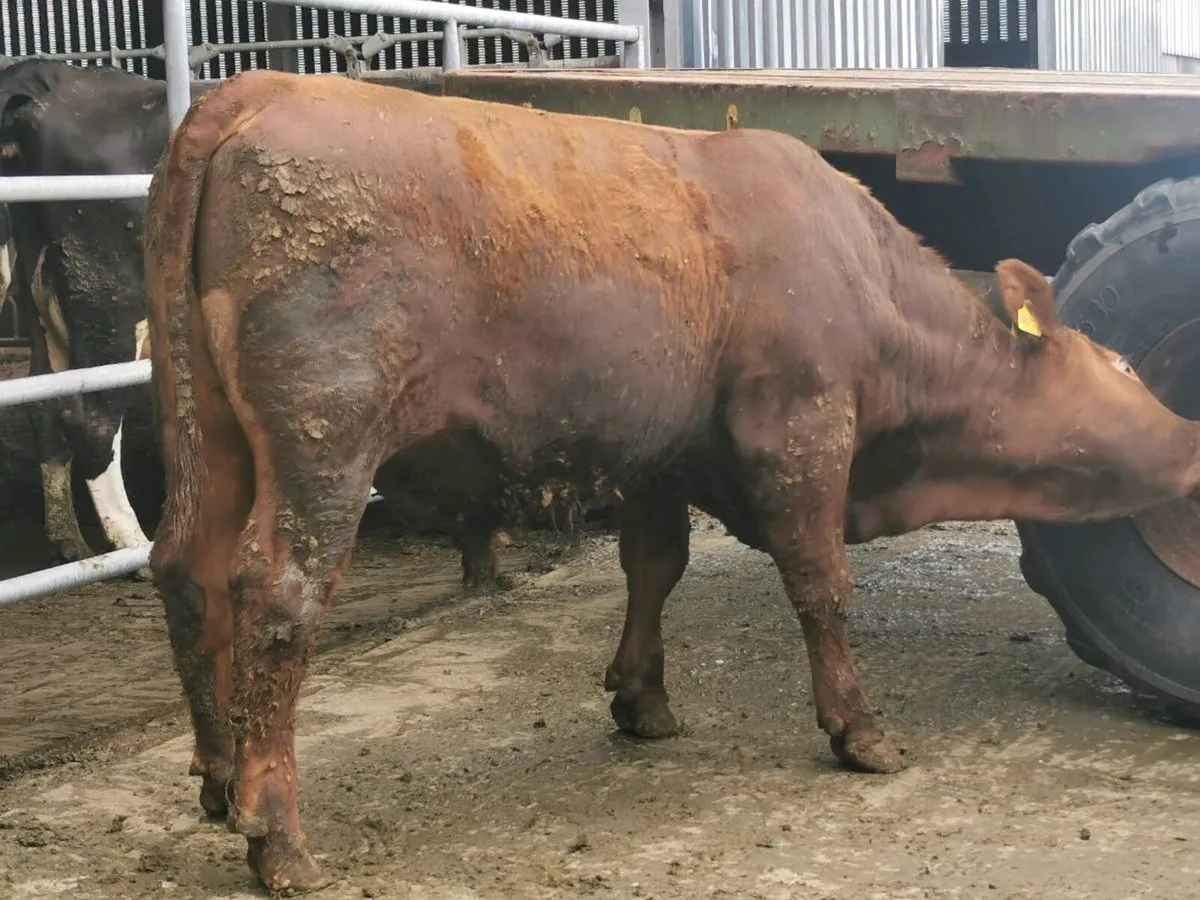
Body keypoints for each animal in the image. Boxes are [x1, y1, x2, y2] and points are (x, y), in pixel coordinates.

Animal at [0, 60, 169, 569]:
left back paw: (69, 540)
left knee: (43, 403)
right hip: (109, 297)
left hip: (41, 298)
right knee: (90, 419)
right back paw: (134, 545)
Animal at [144, 70, 1200, 892]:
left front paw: (641, 698)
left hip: (212, 433)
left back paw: (218, 776)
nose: (1191, 440)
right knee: (275, 595)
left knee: (188, 567)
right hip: (325, 438)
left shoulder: (653, 448)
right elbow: (821, 584)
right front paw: (859, 731)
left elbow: (654, 564)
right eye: (1125, 366)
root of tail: (262, 88)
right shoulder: (801, 427)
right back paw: (276, 834)